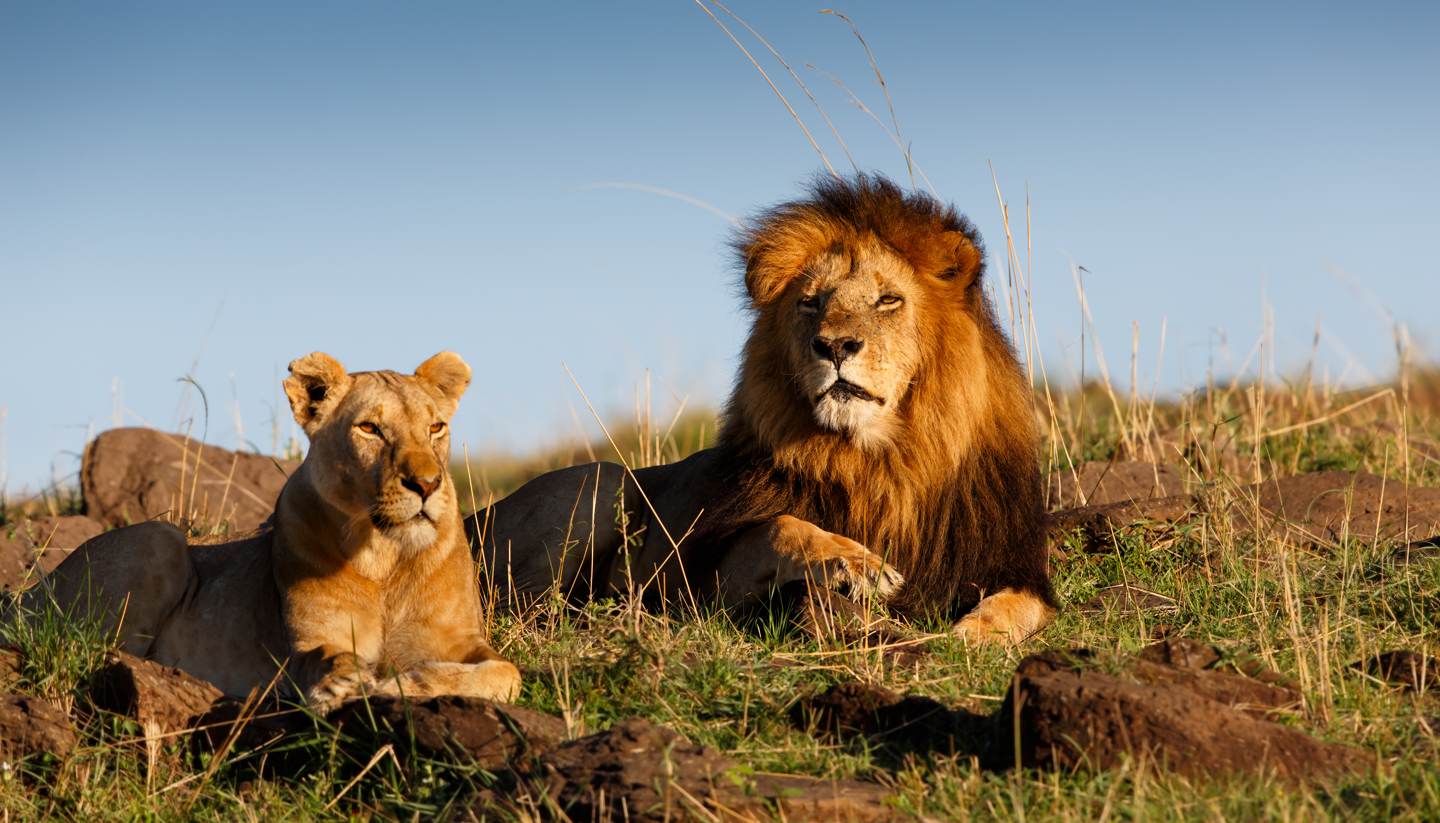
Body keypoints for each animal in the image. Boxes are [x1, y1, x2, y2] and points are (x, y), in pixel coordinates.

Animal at [29, 352, 518, 707]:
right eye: (369, 428)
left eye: (436, 427)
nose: (427, 484)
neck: (385, 555)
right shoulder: (309, 642)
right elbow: (324, 657)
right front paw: (341, 683)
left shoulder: (461, 640)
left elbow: (506, 672)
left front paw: (407, 683)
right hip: (157, 538)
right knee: (87, 654)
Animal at [478, 175, 1054, 641]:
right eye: (811, 302)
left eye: (888, 300)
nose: (835, 346)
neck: (879, 461)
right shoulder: (709, 582)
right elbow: (782, 525)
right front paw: (859, 565)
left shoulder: (1012, 564)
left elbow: (1019, 607)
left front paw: (971, 636)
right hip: (601, 481)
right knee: (515, 603)